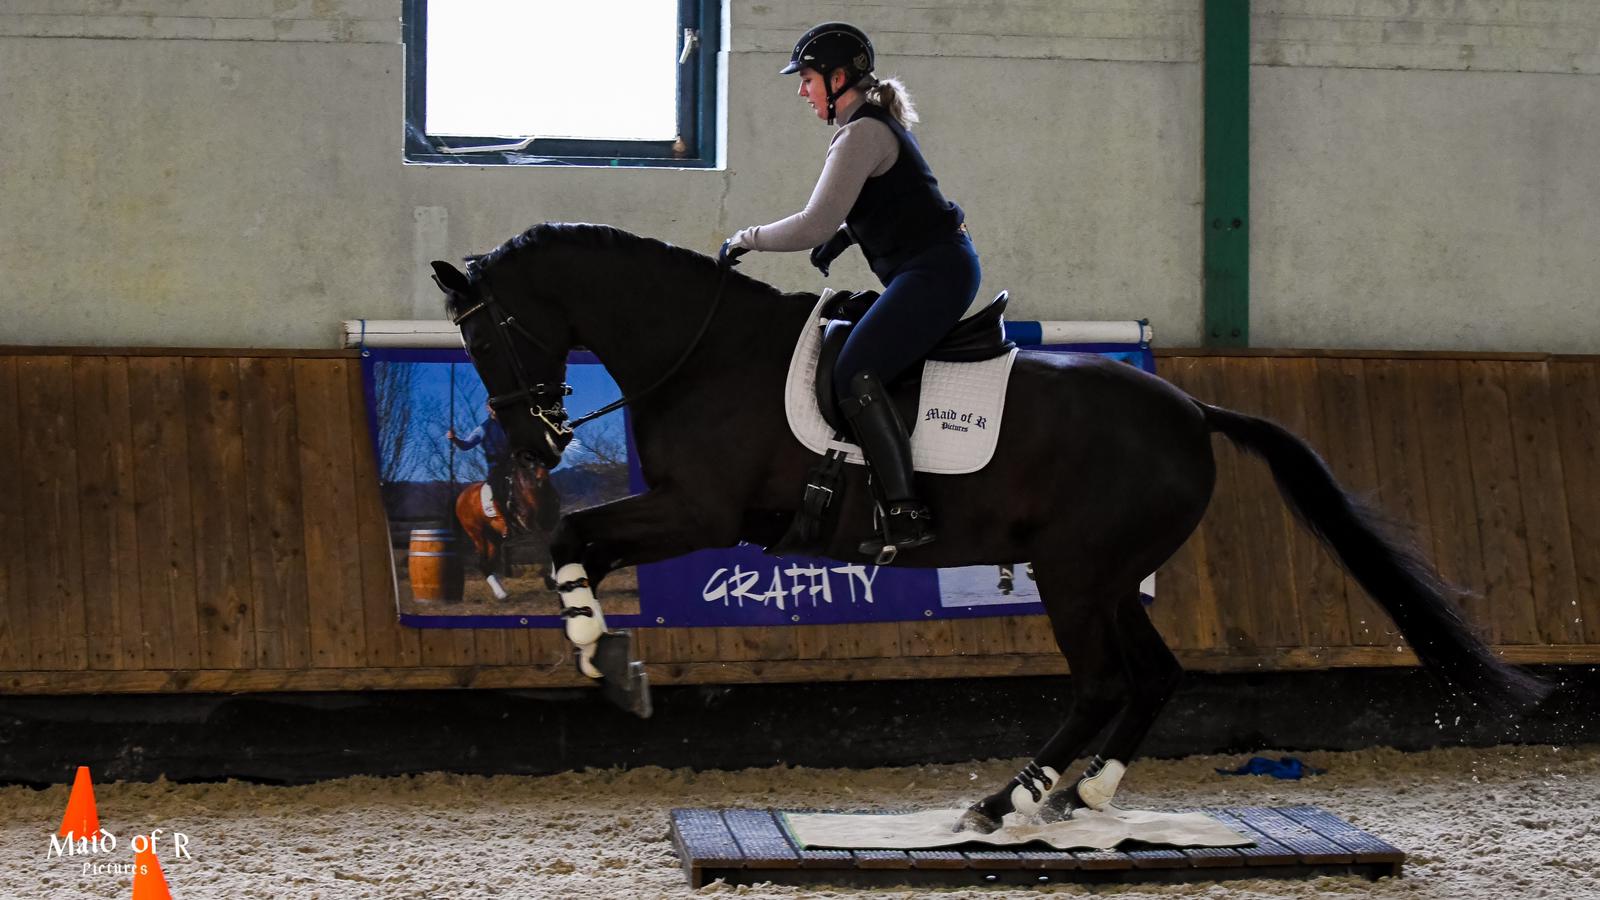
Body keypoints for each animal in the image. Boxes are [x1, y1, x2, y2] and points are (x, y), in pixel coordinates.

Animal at [432, 220, 1555, 832]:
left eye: (489, 335)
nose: (531, 442)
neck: (703, 352)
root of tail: (1193, 411)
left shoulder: (700, 511)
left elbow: (570, 538)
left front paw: (608, 661)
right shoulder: (689, 513)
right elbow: (574, 543)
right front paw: (607, 655)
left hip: (1075, 575)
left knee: (1103, 681)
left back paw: (1006, 804)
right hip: (1105, 577)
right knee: (1154, 676)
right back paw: (1080, 799)